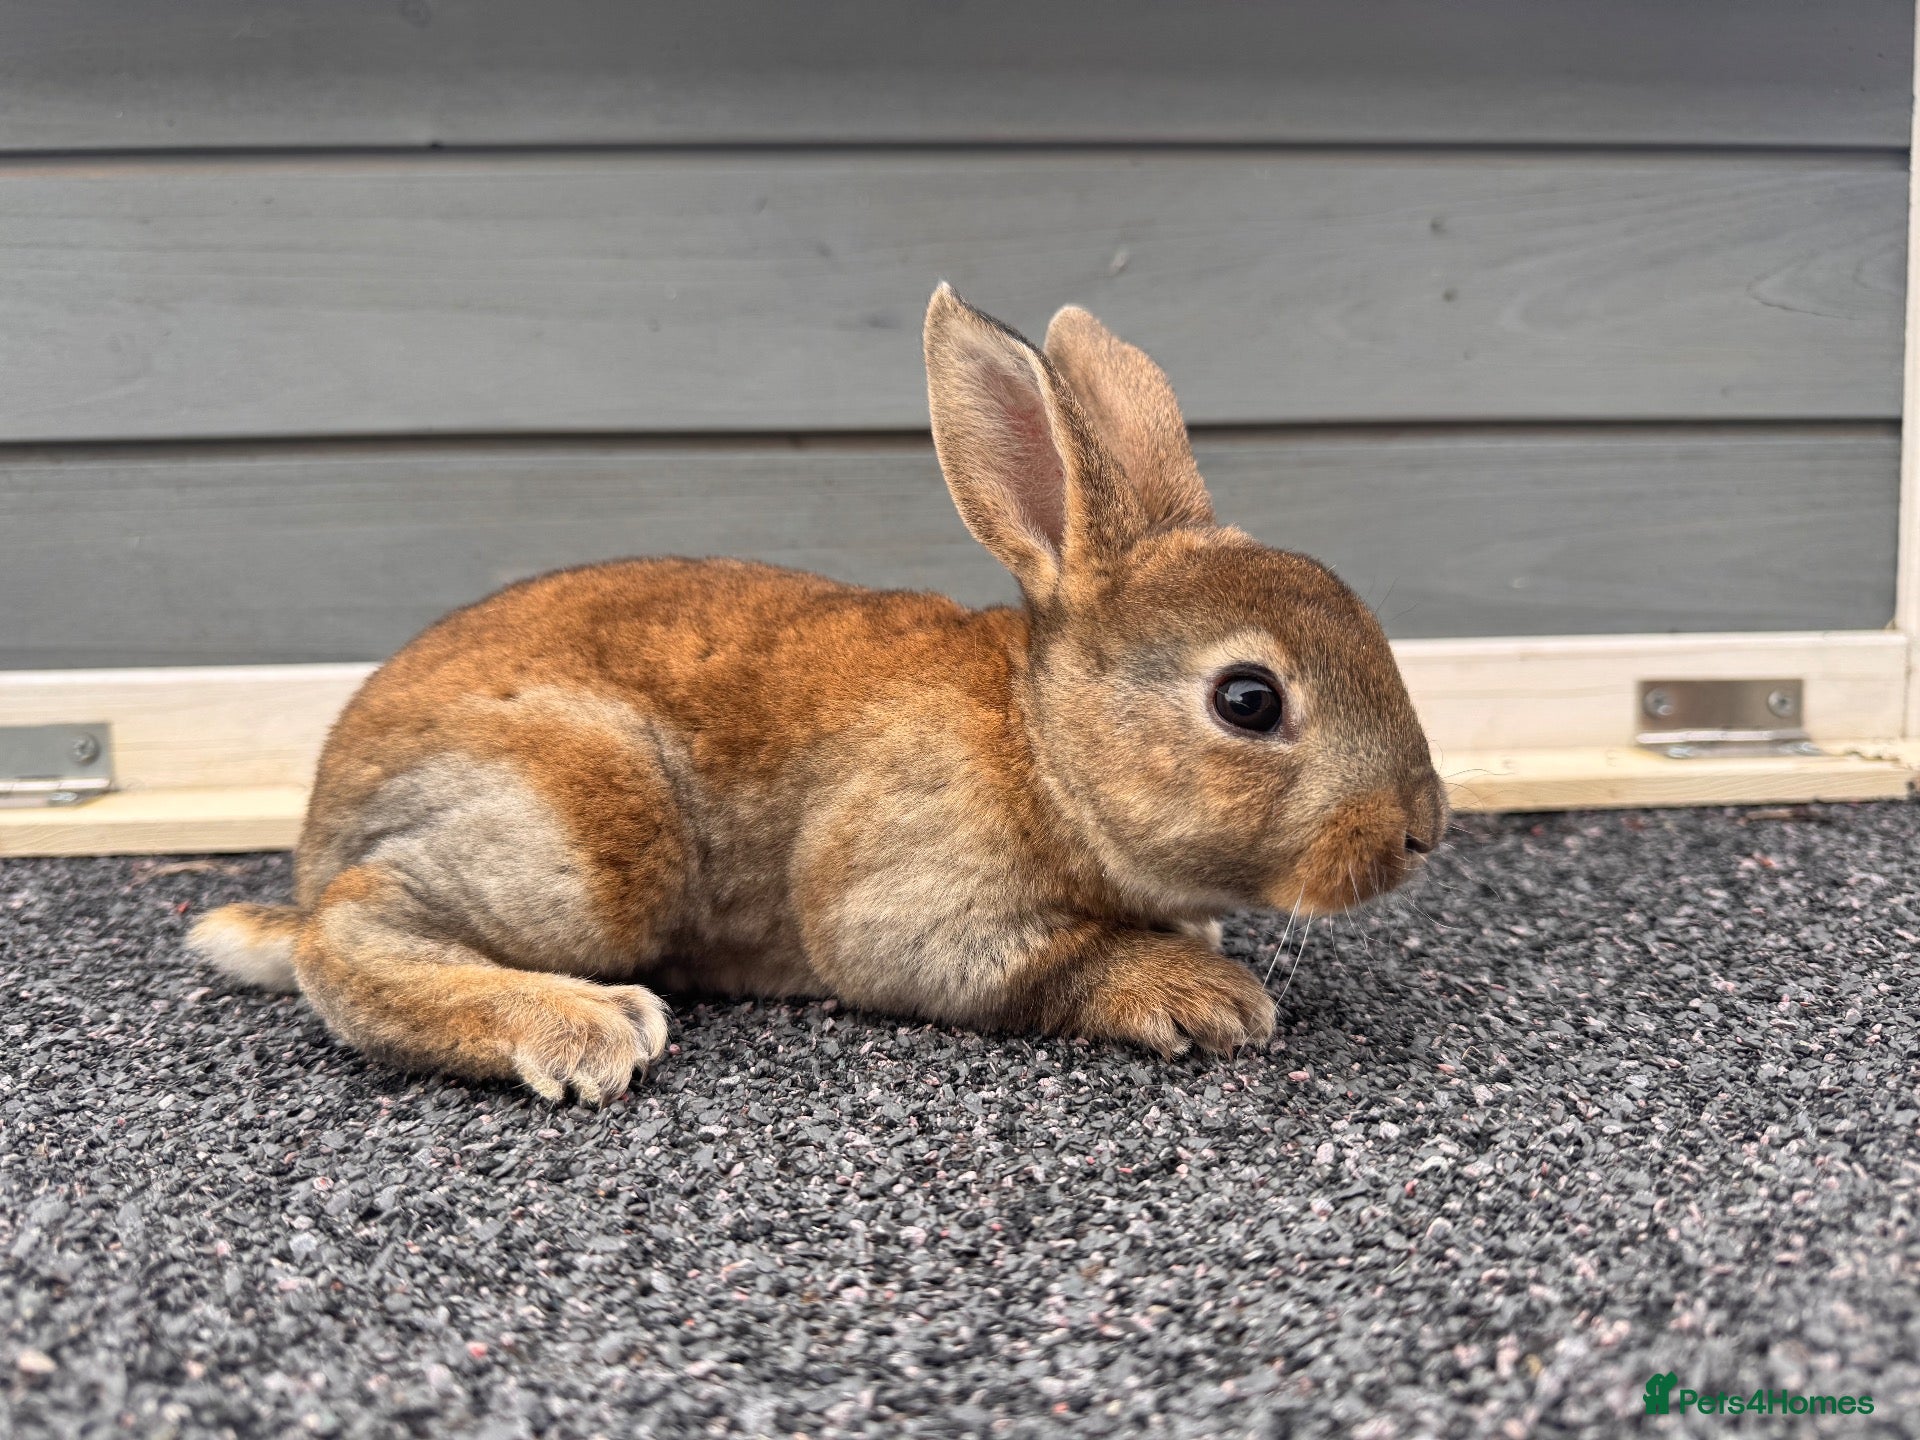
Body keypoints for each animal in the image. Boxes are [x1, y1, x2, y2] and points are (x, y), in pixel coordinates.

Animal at [188, 284, 1445, 1103]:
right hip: (589, 831)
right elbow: (1030, 961)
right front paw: (1201, 993)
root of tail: (319, 838)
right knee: (352, 935)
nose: (1423, 831)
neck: (1042, 750)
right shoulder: (915, 902)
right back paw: (583, 1026)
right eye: (1249, 701)